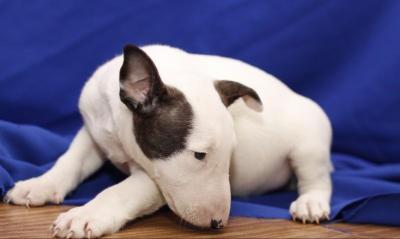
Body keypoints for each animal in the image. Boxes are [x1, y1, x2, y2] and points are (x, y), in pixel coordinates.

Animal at [4, 44, 332, 237]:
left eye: (230, 157)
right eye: (199, 155)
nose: (218, 223)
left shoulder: (157, 179)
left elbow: (123, 191)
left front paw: (87, 214)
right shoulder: (93, 133)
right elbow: (69, 161)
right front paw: (40, 186)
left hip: (310, 143)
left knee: (318, 178)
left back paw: (311, 203)